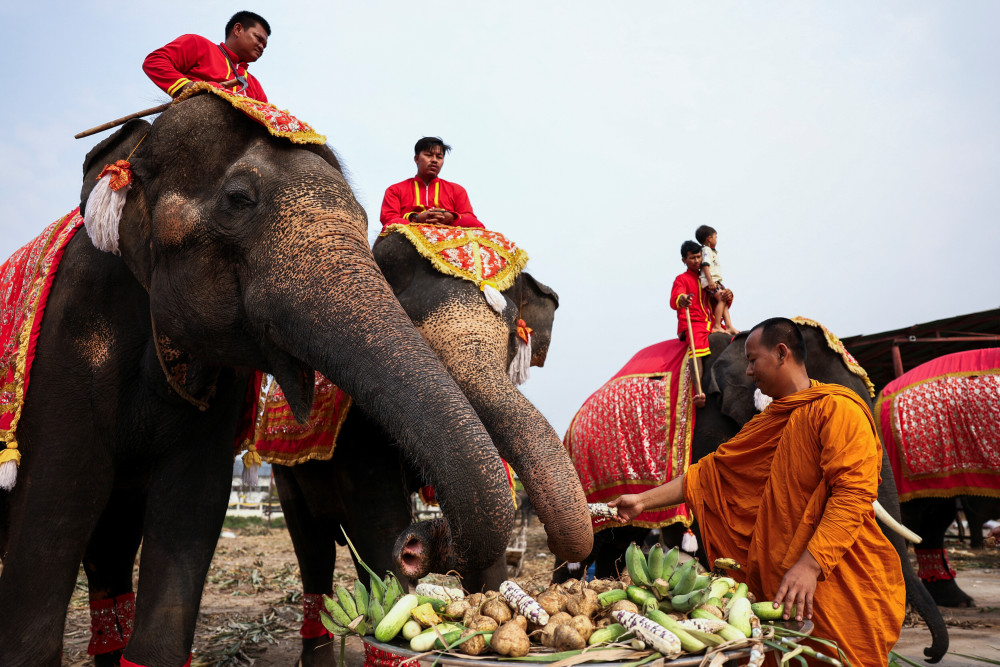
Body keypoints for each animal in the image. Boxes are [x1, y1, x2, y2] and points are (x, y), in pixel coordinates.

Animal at [270, 232, 592, 664]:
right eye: (410, 327)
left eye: (512, 333)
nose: (415, 544)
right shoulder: (356, 423)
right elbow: (378, 516)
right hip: (285, 467)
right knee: (312, 544)